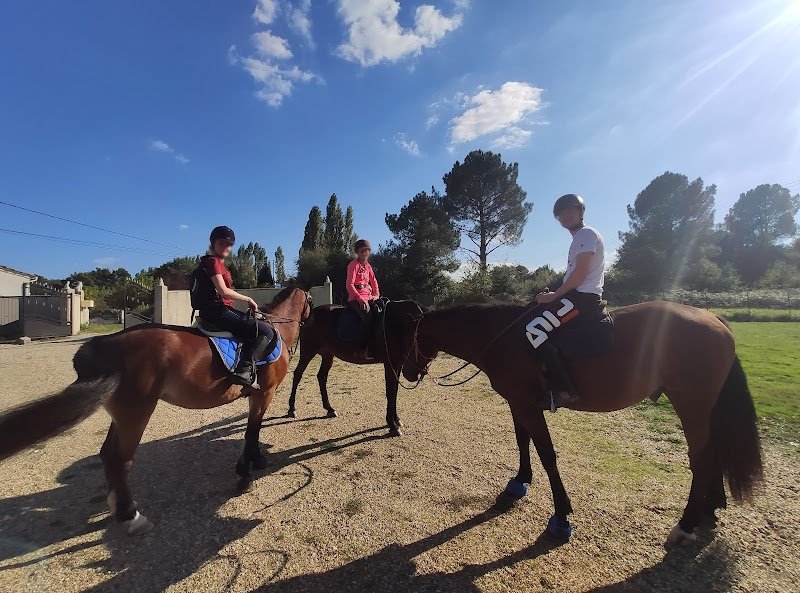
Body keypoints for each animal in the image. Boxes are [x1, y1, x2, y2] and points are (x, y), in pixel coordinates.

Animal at [0, 287, 312, 535]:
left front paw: (257, 461)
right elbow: (250, 432)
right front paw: (245, 476)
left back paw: (118, 506)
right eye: (310, 300)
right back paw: (131, 516)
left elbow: (254, 432)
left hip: (123, 415)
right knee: (120, 458)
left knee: (108, 454)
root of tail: (102, 344)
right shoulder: (263, 393)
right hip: (137, 411)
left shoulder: (259, 396)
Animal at [287, 300, 423, 437]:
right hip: (308, 351)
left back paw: (329, 409)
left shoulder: (397, 364)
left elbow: (395, 391)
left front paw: (396, 419)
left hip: (328, 355)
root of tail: (310, 314)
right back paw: (292, 409)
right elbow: (391, 391)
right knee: (298, 374)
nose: (415, 374)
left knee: (321, 376)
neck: (398, 323)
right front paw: (393, 425)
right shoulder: (390, 364)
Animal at [388, 300, 763, 545]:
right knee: (711, 456)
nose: (407, 373)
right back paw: (709, 513)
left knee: (701, 460)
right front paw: (518, 483)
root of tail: (714, 318)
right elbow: (523, 441)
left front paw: (561, 516)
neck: (501, 337)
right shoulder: (518, 402)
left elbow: (547, 454)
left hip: (691, 406)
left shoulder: (527, 405)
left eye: (406, 339)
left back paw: (686, 523)